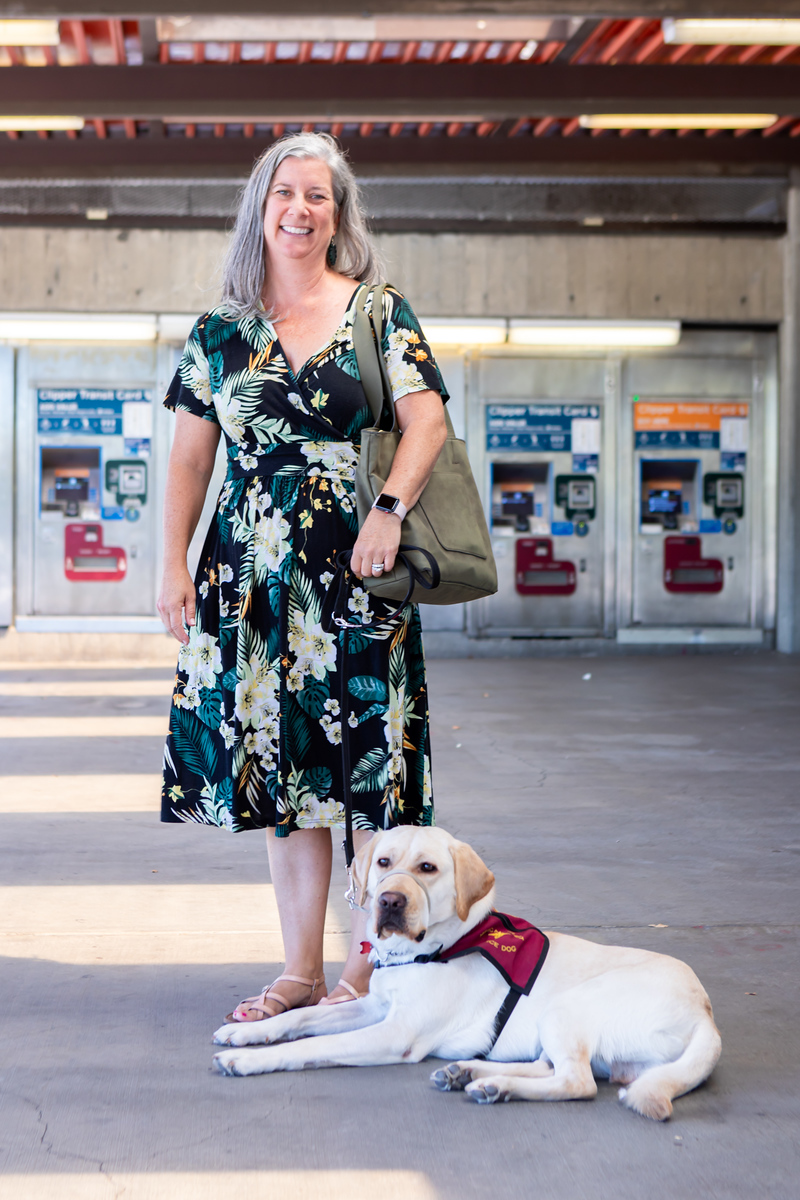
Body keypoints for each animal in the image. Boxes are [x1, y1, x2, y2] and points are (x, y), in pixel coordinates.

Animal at [211, 825, 719, 1113]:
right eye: (383, 862)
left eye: (428, 868)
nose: (389, 901)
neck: (433, 947)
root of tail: (705, 1016)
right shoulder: (375, 1006)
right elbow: (302, 1017)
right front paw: (248, 1031)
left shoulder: (395, 1032)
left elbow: (314, 1045)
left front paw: (247, 1060)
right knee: (555, 1067)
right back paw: (470, 1073)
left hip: (567, 1007)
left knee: (577, 1082)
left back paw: (494, 1086)